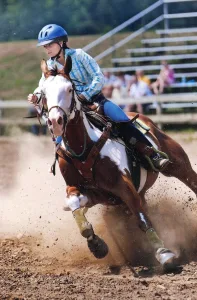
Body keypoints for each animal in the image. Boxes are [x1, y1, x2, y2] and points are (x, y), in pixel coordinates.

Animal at [39, 59, 197, 272]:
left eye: (70, 89)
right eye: (43, 93)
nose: (55, 121)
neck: (84, 147)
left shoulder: (124, 186)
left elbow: (141, 218)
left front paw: (164, 253)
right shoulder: (88, 191)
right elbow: (75, 205)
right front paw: (97, 245)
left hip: (177, 163)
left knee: (190, 180)